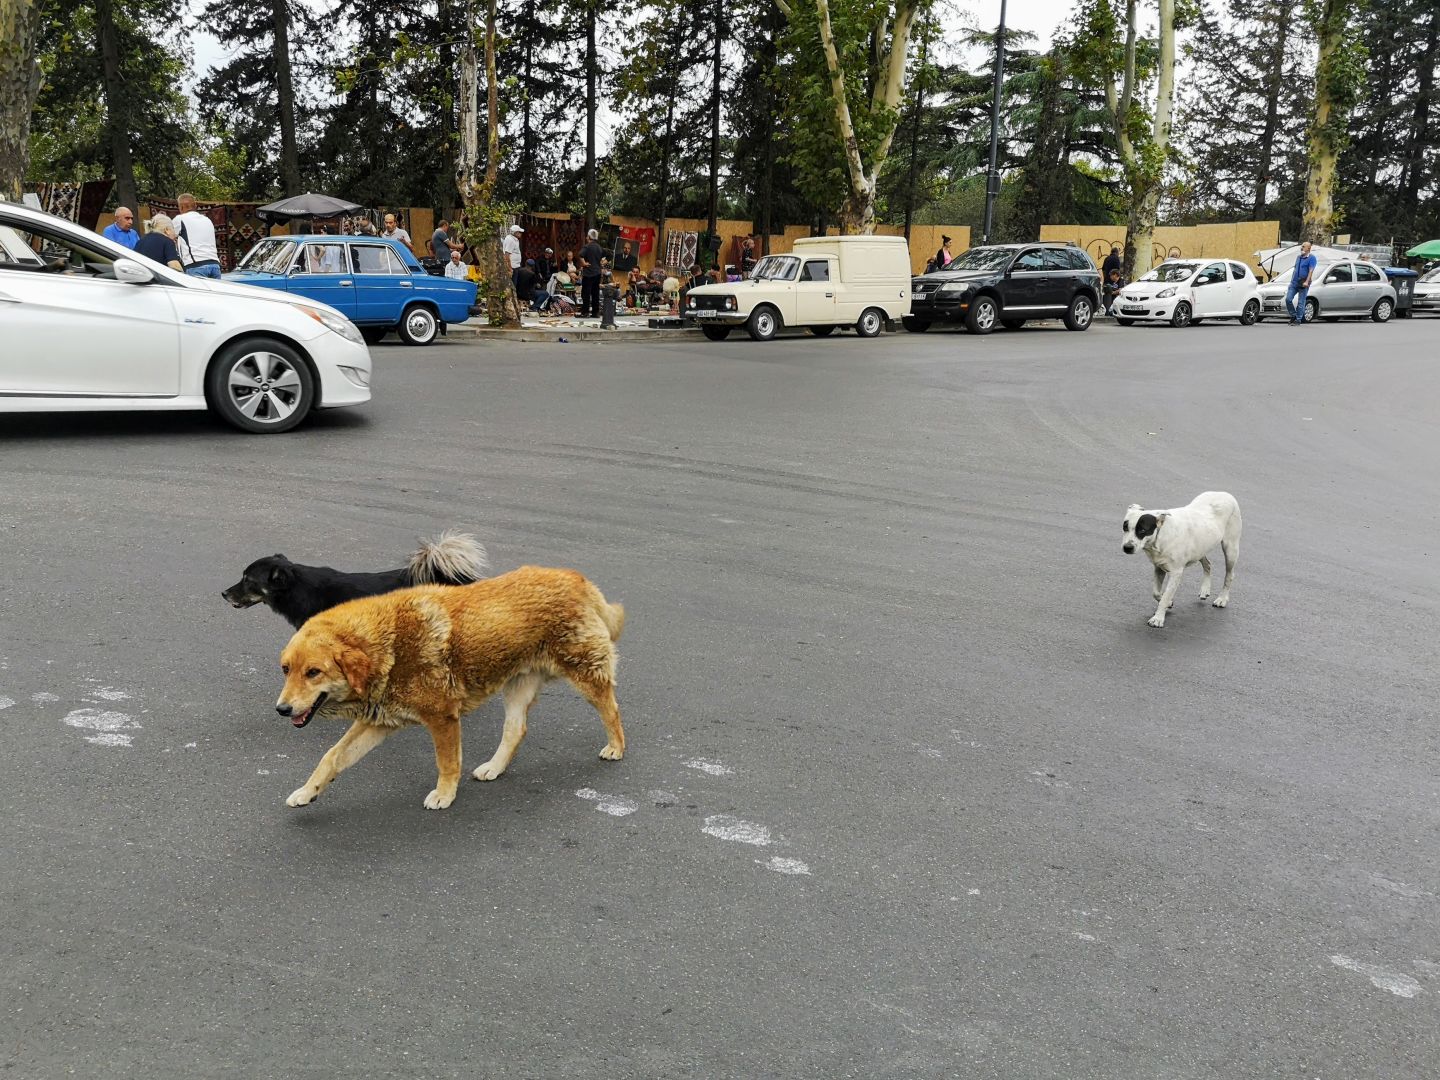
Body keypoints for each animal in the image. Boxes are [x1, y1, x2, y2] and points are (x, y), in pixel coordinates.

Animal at [275, 567, 624, 812]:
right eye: (286, 670)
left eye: (313, 672)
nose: (281, 709)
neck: (390, 646)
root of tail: (576, 578)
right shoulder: (378, 721)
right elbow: (331, 757)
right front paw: (307, 791)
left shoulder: (442, 717)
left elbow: (447, 762)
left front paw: (445, 794)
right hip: (518, 687)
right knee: (515, 731)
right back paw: (495, 767)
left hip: (585, 673)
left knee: (611, 710)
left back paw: (616, 747)